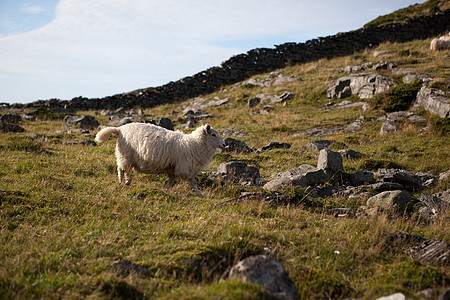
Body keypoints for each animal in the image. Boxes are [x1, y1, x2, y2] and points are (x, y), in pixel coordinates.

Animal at [96, 122, 227, 197]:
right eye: (213, 135)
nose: (224, 144)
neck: (193, 144)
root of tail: (119, 129)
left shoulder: (173, 168)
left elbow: (170, 181)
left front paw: (166, 190)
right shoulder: (184, 168)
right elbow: (192, 182)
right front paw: (200, 194)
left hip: (128, 158)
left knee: (127, 170)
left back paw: (128, 182)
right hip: (125, 155)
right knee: (121, 169)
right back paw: (121, 182)